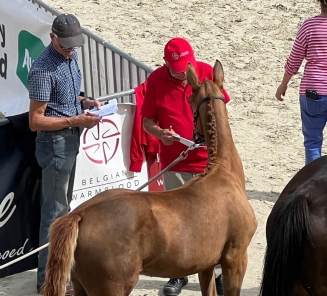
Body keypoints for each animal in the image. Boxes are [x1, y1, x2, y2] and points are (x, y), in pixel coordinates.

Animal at [42, 60, 258, 296]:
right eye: (191, 101)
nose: (195, 135)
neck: (223, 171)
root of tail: (80, 214)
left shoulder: (206, 265)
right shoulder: (235, 259)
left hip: (81, 286)